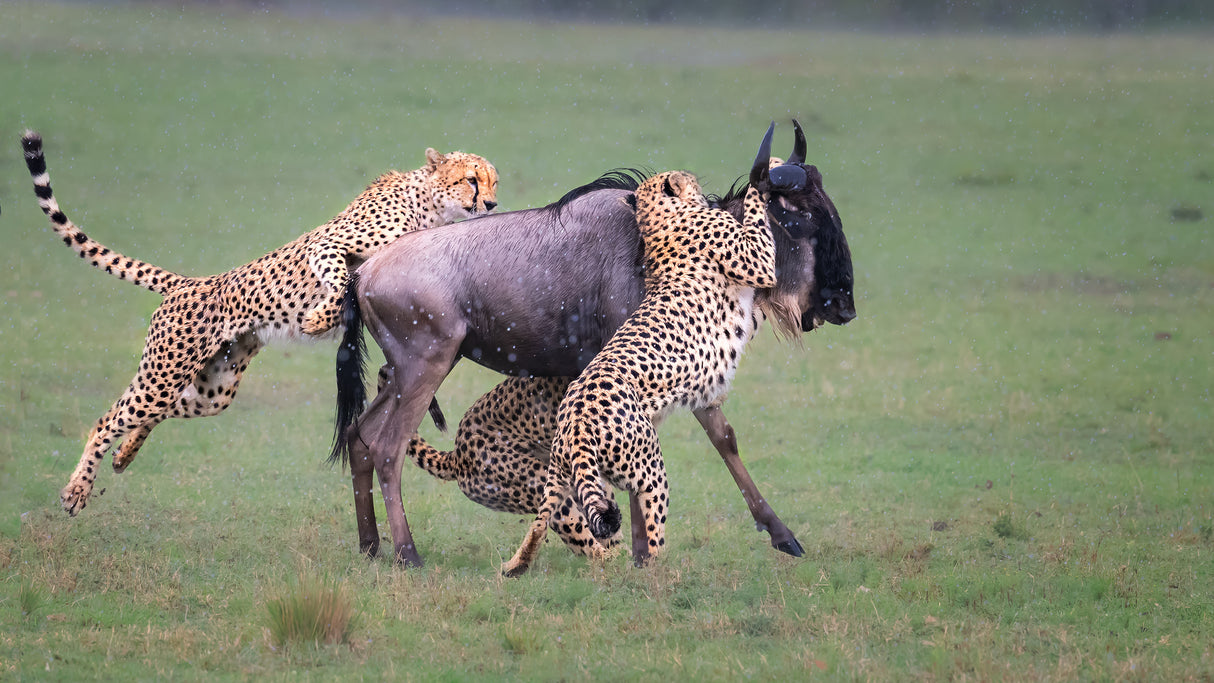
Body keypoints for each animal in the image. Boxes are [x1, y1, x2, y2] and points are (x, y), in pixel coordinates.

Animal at [21, 130, 498, 517]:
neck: (429, 205)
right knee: (106, 420)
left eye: (494, 181)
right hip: (164, 373)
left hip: (212, 389)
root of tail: (192, 283)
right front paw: (317, 318)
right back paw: (77, 490)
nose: (492, 203)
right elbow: (338, 281)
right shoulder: (330, 246)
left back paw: (124, 454)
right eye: (471, 179)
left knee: (157, 411)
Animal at [499, 169, 777, 577]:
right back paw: (663, 575)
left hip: (557, 479)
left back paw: (515, 565)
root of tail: (575, 426)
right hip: (651, 470)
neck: (658, 222)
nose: (697, 182)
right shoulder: (755, 267)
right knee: (653, 539)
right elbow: (758, 221)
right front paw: (766, 170)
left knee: (539, 524)